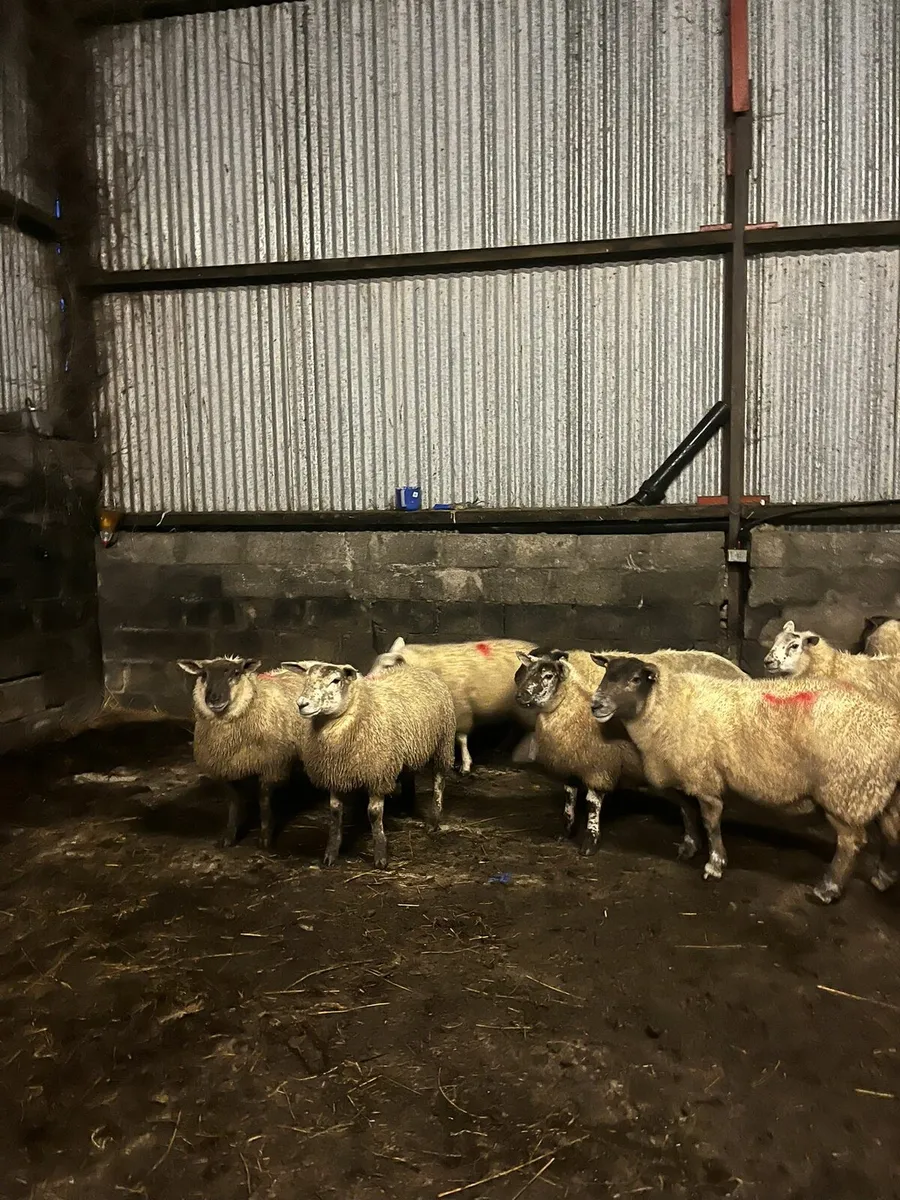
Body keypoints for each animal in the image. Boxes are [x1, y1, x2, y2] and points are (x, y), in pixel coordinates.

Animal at [177, 656, 308, 850]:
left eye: (236, 672)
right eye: (204, 674)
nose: (214, 699)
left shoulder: (271, 766)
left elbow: (263, 801)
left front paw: (265, 837)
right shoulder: (225, 769)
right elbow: (234, 802)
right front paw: (230, 836)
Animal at [281, 659, 456, 869]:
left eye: (336, 680)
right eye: (306, 679)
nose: (302, 704)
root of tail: (417, 668)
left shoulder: (378, 773)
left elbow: (373, 813)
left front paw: (380, 856)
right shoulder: (334, 772)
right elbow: (335, 812)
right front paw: (331, 853)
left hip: (443, 743)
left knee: (439, 780)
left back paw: (433, 820)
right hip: (407, 747)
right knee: (408, 774)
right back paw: (406, 807)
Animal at [589, 655, 900, 903]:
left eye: (635, 679)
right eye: (606, 673)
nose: (596, 704)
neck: (665, 706)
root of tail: (890, 723)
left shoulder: (705, 779)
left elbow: (711, 822)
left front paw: (715, 864)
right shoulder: (685, 775)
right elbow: (686, 812)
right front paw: (690, 846)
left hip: (845, 791)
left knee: (851, 843)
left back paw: (828, 889)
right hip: (880, 792)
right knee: (889, 832)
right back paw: (882, 877)